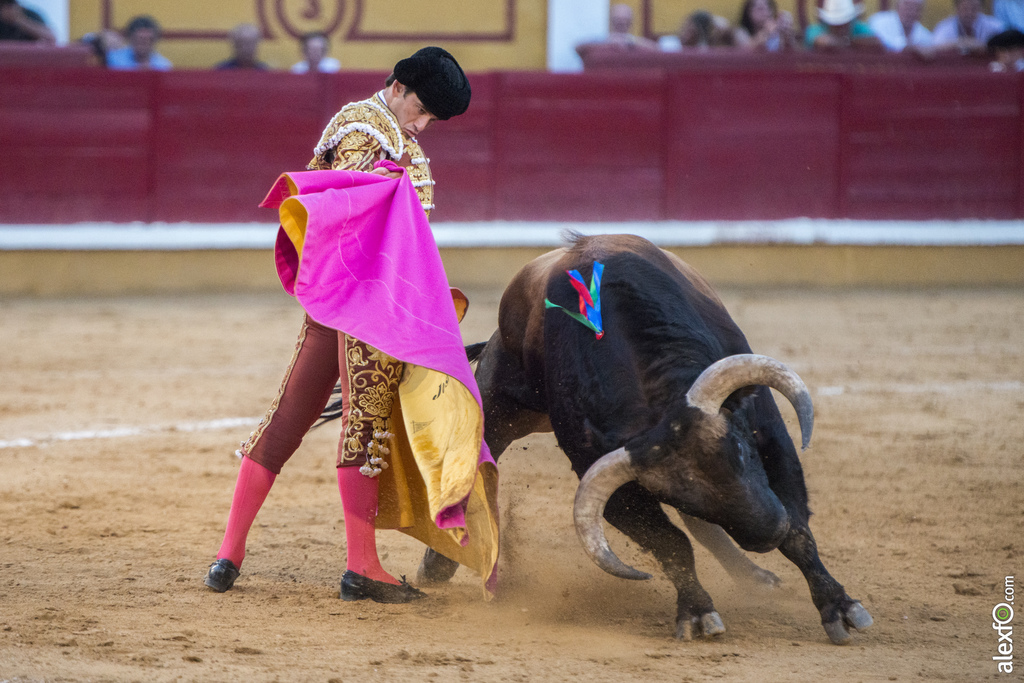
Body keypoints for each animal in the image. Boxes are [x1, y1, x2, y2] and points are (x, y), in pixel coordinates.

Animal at [415, 235, 872, 647]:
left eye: (741, 451)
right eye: (675, 494)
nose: (765, 534)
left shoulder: (767, 431)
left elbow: (798, 531)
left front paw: (840, 607)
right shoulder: (610, 481)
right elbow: (672, 543)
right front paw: (697, 611)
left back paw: (755, 577)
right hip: (497, 403)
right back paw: (437, 565)